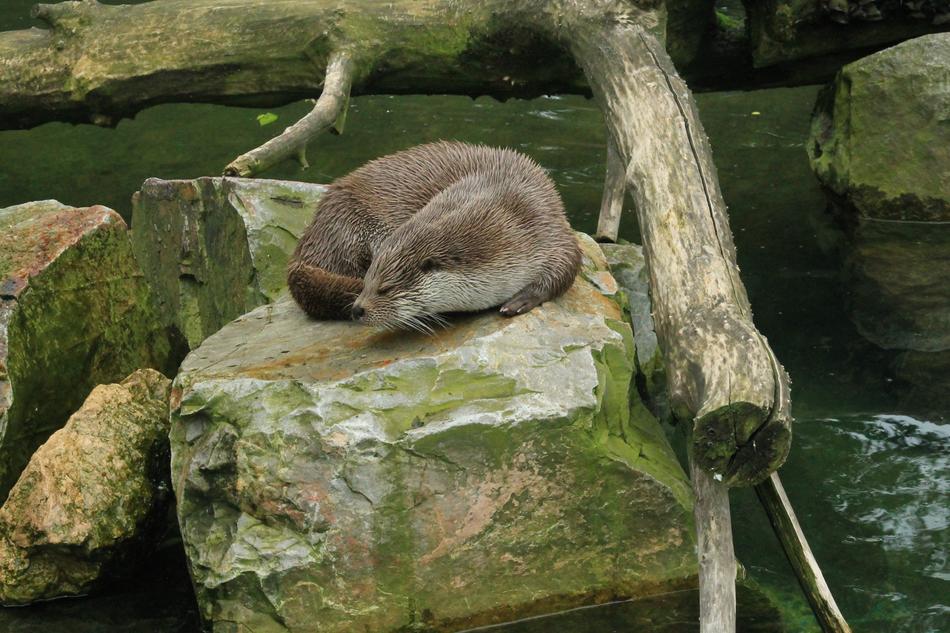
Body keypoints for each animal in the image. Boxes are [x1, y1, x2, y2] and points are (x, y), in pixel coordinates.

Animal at [287, 141, 581, 330]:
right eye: (368, 282)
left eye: (385, 288)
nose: (357, 309)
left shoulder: (548, 225)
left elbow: (568, 264)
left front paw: (520, 300)